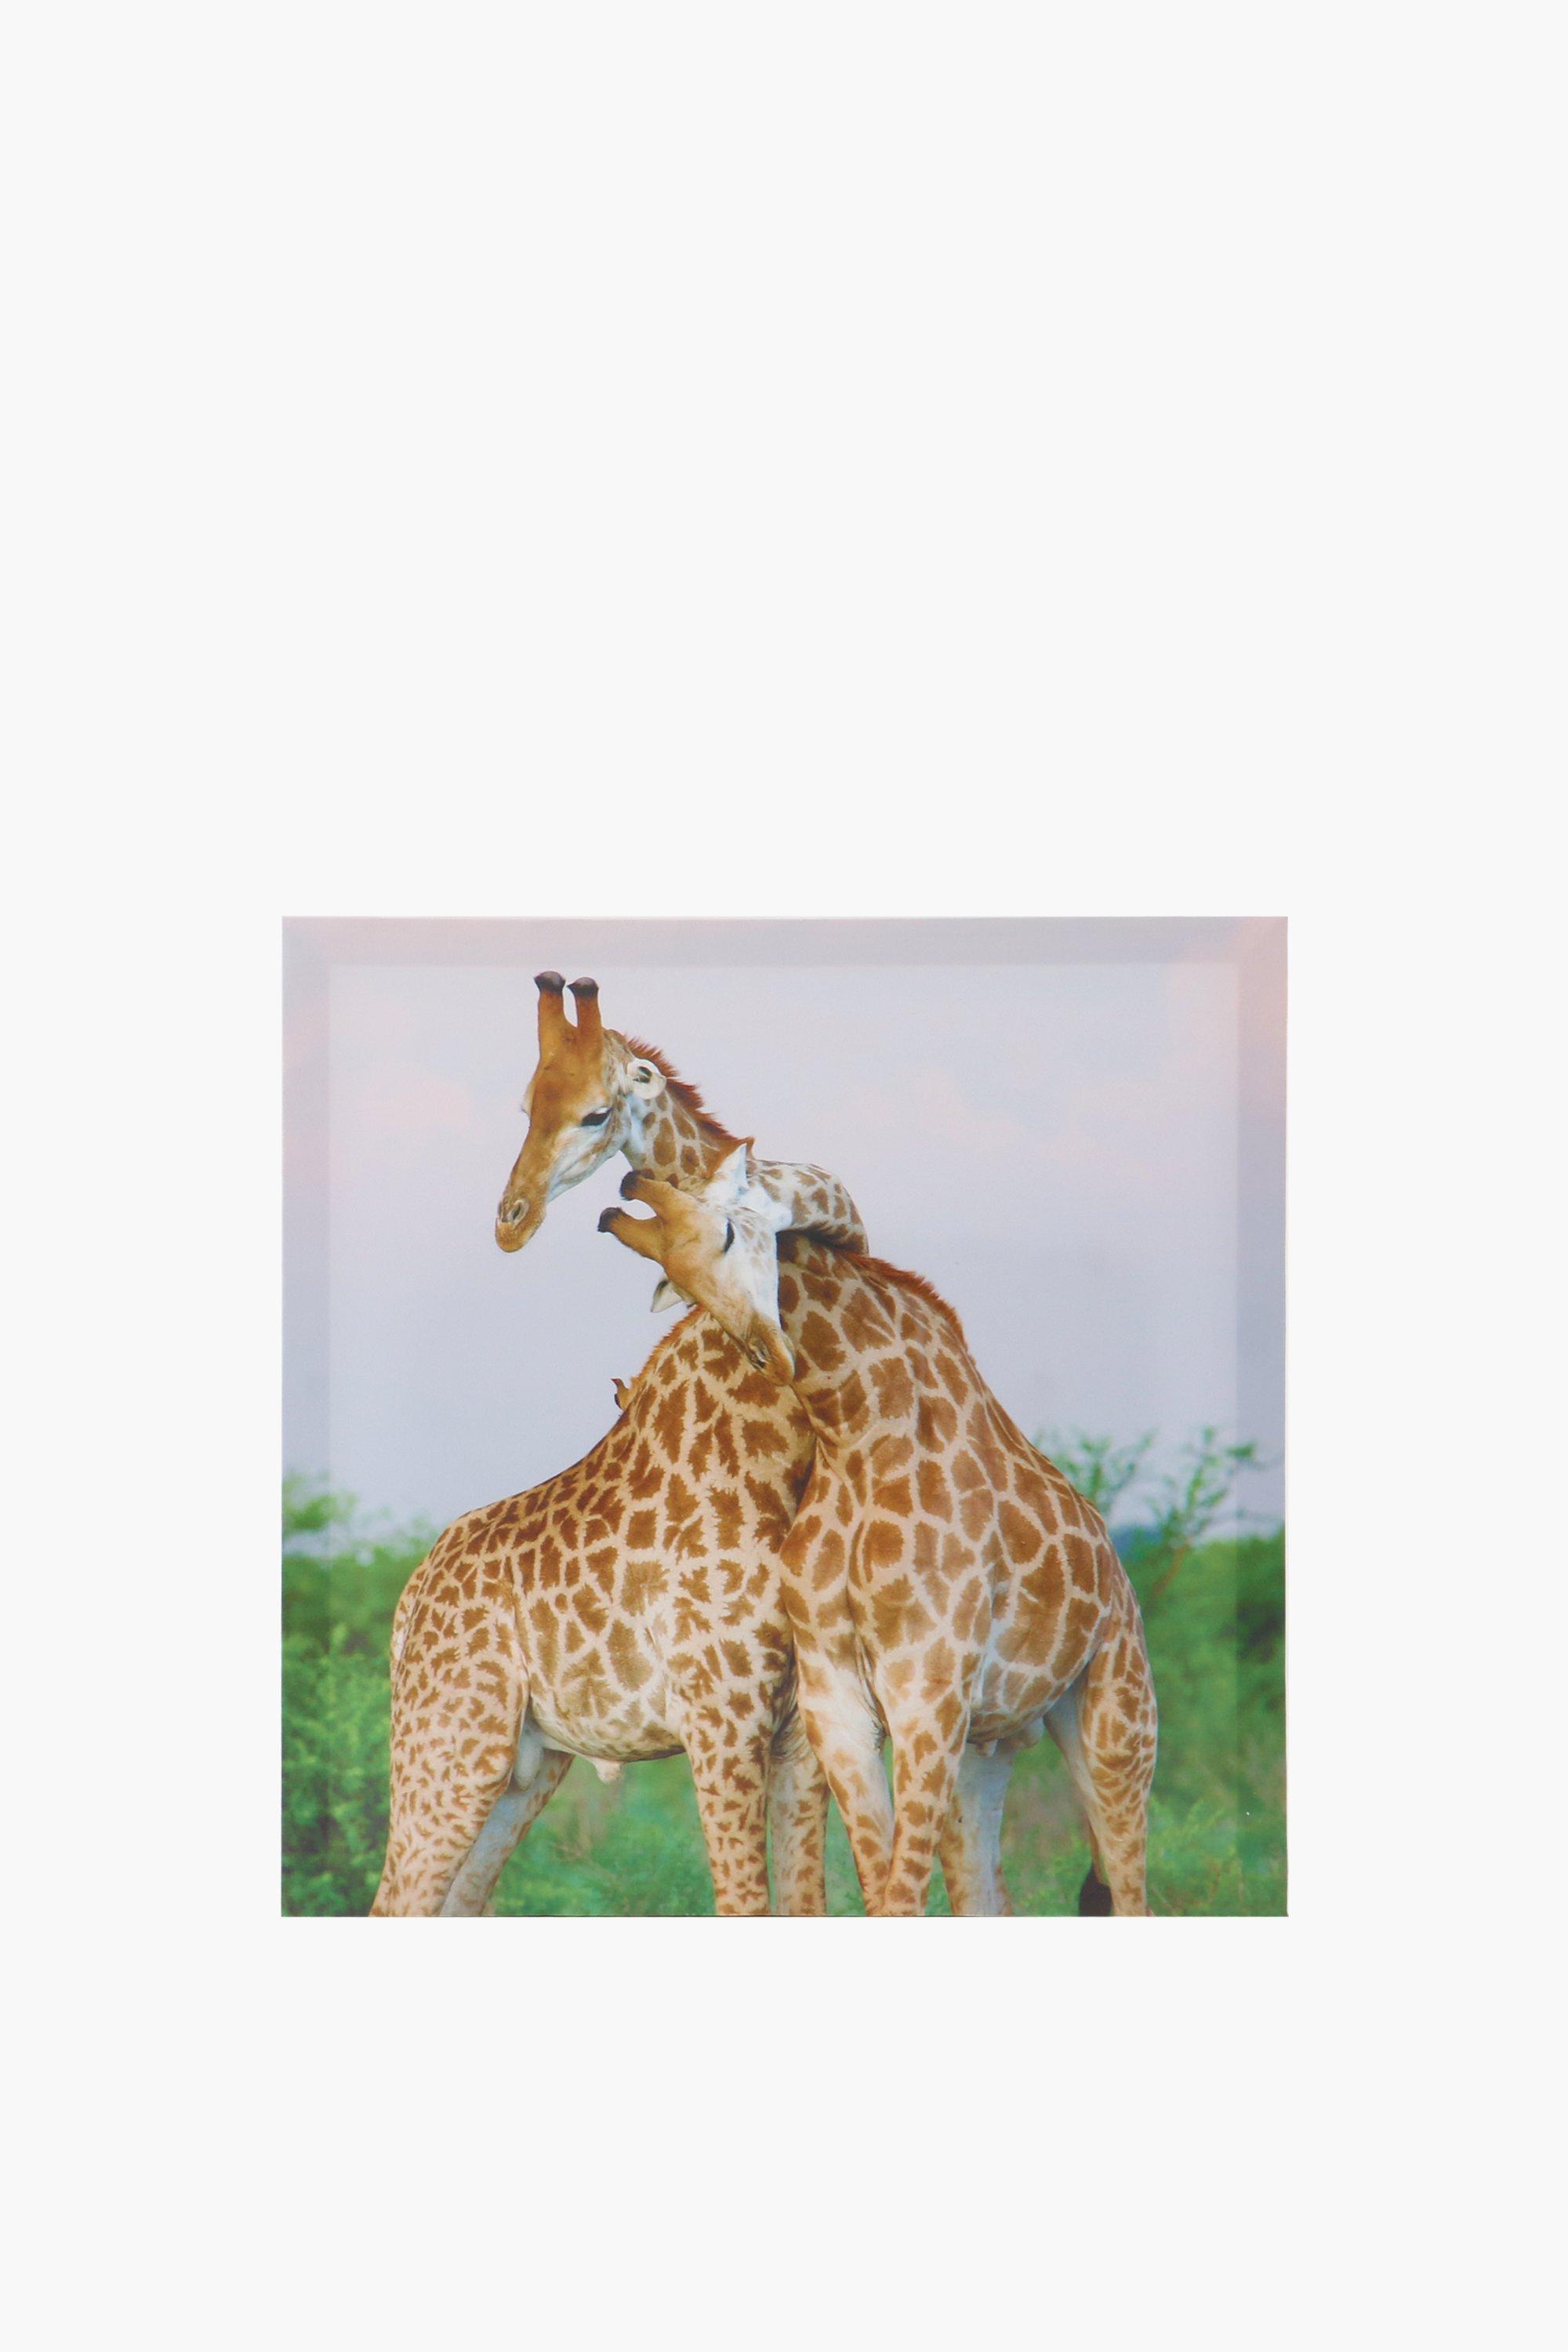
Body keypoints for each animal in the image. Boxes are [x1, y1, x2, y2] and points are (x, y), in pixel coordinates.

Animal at [599, 1157, 1160, 1918]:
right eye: (675, 1282)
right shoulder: (836, 1699)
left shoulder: (927, 1690)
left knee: (1130, 1888)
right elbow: (880, 1891)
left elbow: (898, 1897)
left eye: (727, 1235)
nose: (768, 1352)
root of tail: (1119, 1580)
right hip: (988, 1746)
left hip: (1116, 1722)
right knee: (988, 1893)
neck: (858, 1436)